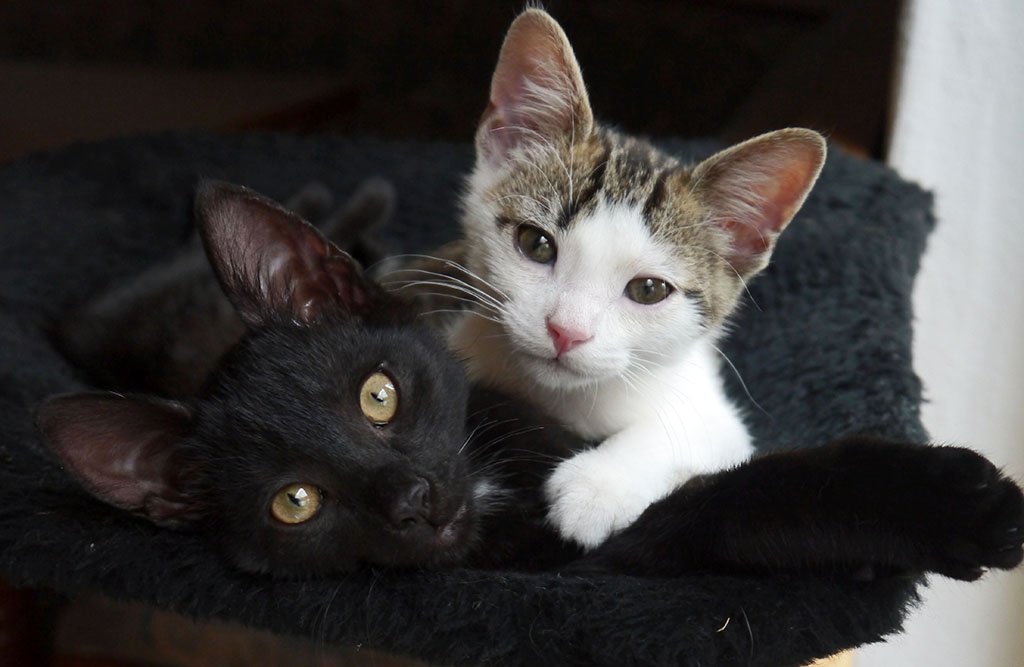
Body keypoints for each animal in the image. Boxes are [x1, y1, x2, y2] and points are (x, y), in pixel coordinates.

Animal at [415, 10, 823, 549]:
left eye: (649, 290)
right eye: (535, 244)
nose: (565, 331)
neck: (560, 401)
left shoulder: (714, 409)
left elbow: (693, 431)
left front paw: (596, 489)